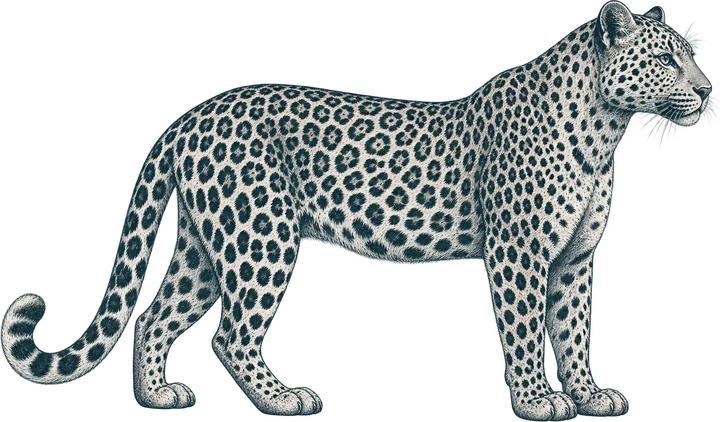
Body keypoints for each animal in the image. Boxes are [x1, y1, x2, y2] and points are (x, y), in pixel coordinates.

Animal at [1, 1, 715, 420]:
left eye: (693, 55)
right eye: (664, 59)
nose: (709, 91)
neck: (604, 130)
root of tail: (187, 119)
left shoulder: (575, 259)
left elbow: (572, 330)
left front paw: (590, 395)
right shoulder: (519, 253)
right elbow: (522, 330)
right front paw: (539, 401)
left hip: (212, 246)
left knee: (154, 315)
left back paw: (158, 396)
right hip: (261, 237)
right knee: (231, 334)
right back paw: (286, 399)